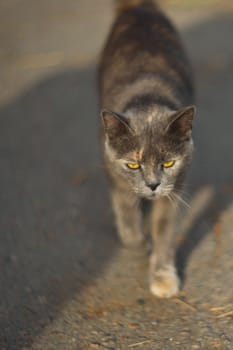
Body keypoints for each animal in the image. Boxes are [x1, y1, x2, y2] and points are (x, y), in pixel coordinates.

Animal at [97, 0, 196, 298]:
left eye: (168, 163)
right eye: (133, 164)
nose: (153, 185)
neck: (148, 99)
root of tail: (138, 6)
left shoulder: (175, 187)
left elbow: (164, 229)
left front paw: (163, 278)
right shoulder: (113, 172)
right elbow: (126, 217)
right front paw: (139, 244)